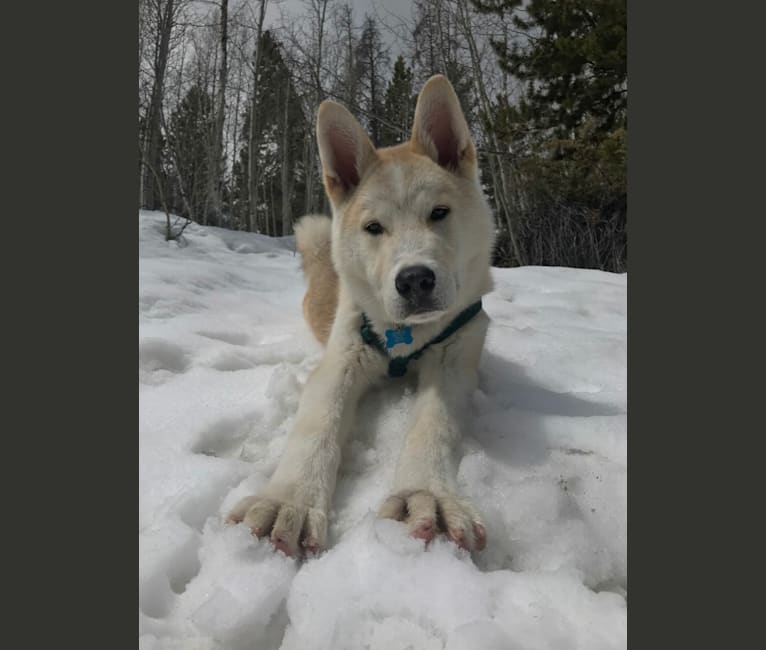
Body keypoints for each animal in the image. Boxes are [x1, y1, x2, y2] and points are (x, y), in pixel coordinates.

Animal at [226, 73, 498, 556]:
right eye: (374, 227)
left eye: (439, 213)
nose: (414, 280)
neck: (407, 334)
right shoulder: (340, 361)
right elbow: (317, 427)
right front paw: (288, 501)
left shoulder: (455, 359)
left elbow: (434, 424)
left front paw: (424, 494)